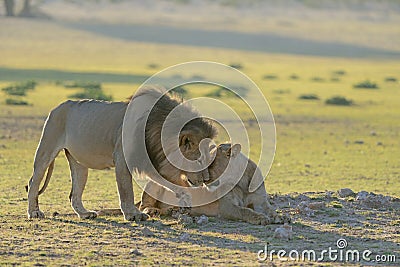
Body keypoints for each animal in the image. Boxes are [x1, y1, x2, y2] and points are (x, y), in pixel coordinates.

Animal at [26, 86, 216, 222]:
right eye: (199, 161)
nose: (207, 180)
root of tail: (58, 106)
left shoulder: (149, 161)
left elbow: (163, 181)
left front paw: (184, 197)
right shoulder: (123, 159)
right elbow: (126, 190)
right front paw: (133, 214)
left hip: (79, 162)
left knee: (74, 193)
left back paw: (85, 213)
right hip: (47, 147)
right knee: (33, 182)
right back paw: (34, 212)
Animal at [139, 143, 290, 225]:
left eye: (210, 163)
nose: (202, 180)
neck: (240, 181)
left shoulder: (261, 202)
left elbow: (270, 210)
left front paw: (281, 217)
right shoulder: (226, 206)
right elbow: (245, 210)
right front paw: (260, 218)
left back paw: (175, 210)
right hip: (154, 183)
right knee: (143, 205)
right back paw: (154, 211)